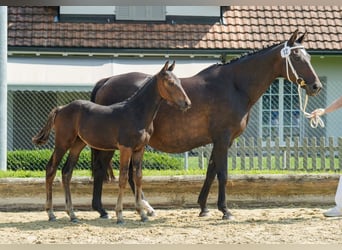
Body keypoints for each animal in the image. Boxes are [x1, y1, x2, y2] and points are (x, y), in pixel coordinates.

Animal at [31, 62, 192, 223]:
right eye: (170, 82)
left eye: (179, 81)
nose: (187, 103)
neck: (135, 112)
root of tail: (61, 108)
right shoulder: (125, 148)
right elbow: (123, 178)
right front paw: (120, 214)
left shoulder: (140, 149)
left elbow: (138, 178)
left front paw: (142, 213)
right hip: (63, 142)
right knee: (51, 169)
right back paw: (51, 213)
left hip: (78, 144)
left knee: (66, 173)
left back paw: (72, 214)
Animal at [89, 30, 322, 220]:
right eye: (296, 57)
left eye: (309, 57)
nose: (316, 86)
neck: (234, 86)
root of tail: (106, 81)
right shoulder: (223, 138)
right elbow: (223, 174)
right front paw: (225, 210)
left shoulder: (221, 141)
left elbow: (211, 171)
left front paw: (204, 207)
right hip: (112, 145)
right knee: (103, 171)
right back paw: (105, 209)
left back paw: (141, 208)